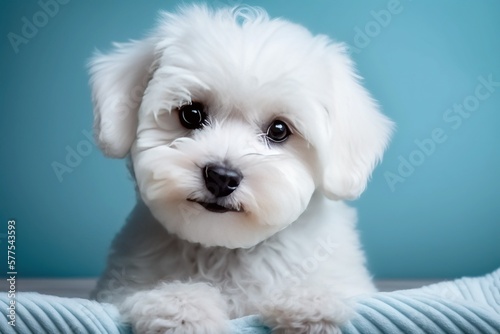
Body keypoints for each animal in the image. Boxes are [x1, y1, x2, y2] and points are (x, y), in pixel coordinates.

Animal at [90, 3, 394, 334]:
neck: (225, 250)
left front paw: (308, 302)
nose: (222, 177)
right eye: (191, 113)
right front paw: (182, 308)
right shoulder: (120, 288)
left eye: (279, 130)